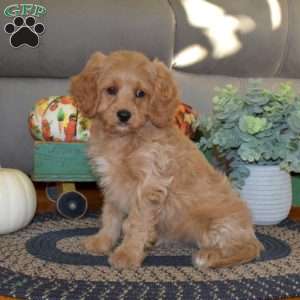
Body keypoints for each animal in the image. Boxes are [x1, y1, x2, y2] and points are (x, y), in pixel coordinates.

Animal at [71, 49, 262, 270]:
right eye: (111, 90)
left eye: (140, 93)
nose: (124, 115)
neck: (124, 140)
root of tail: (250, 229)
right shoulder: (111, 182)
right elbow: (110, 214)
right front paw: (103, 241)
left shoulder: (149, 184)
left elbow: (135, 222)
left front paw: (128, 254)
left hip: (218, 225)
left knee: (244, 248)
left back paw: (209, 256)